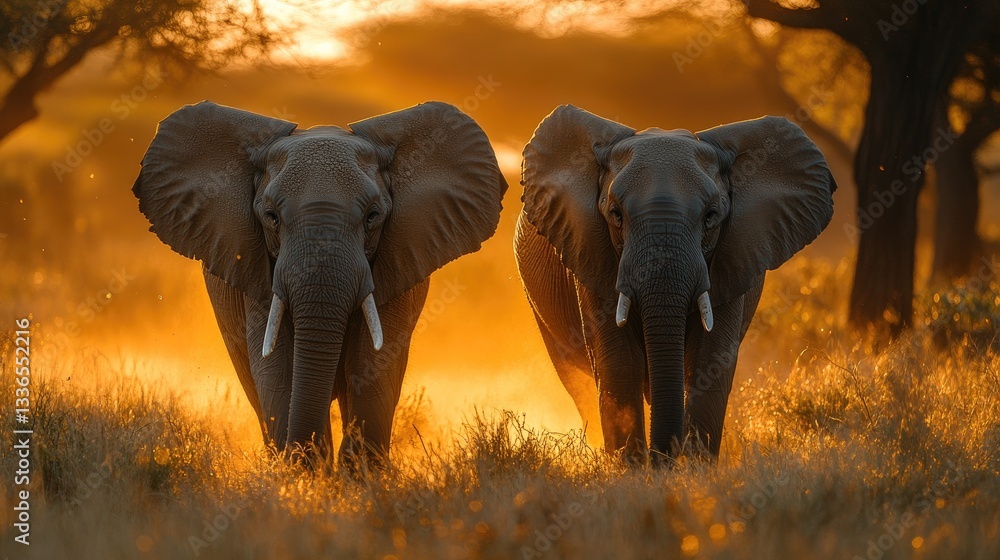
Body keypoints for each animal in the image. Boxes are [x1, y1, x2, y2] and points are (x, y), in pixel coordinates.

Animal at [133, 100, 507, 465]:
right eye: (270, 216)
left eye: (373, 216)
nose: (304, 454)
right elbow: (277, 367)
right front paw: (304, 474)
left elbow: (373, 363)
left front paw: (357, 475)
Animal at [515, 105, 835, 460]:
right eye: (615, 214)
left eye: (711, 216)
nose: (663, 459)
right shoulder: (591, 251)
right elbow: (619, 362)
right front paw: (634, 468)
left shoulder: (732, 257)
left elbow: (711, 361)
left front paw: (694, 469)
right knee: (577, 381)